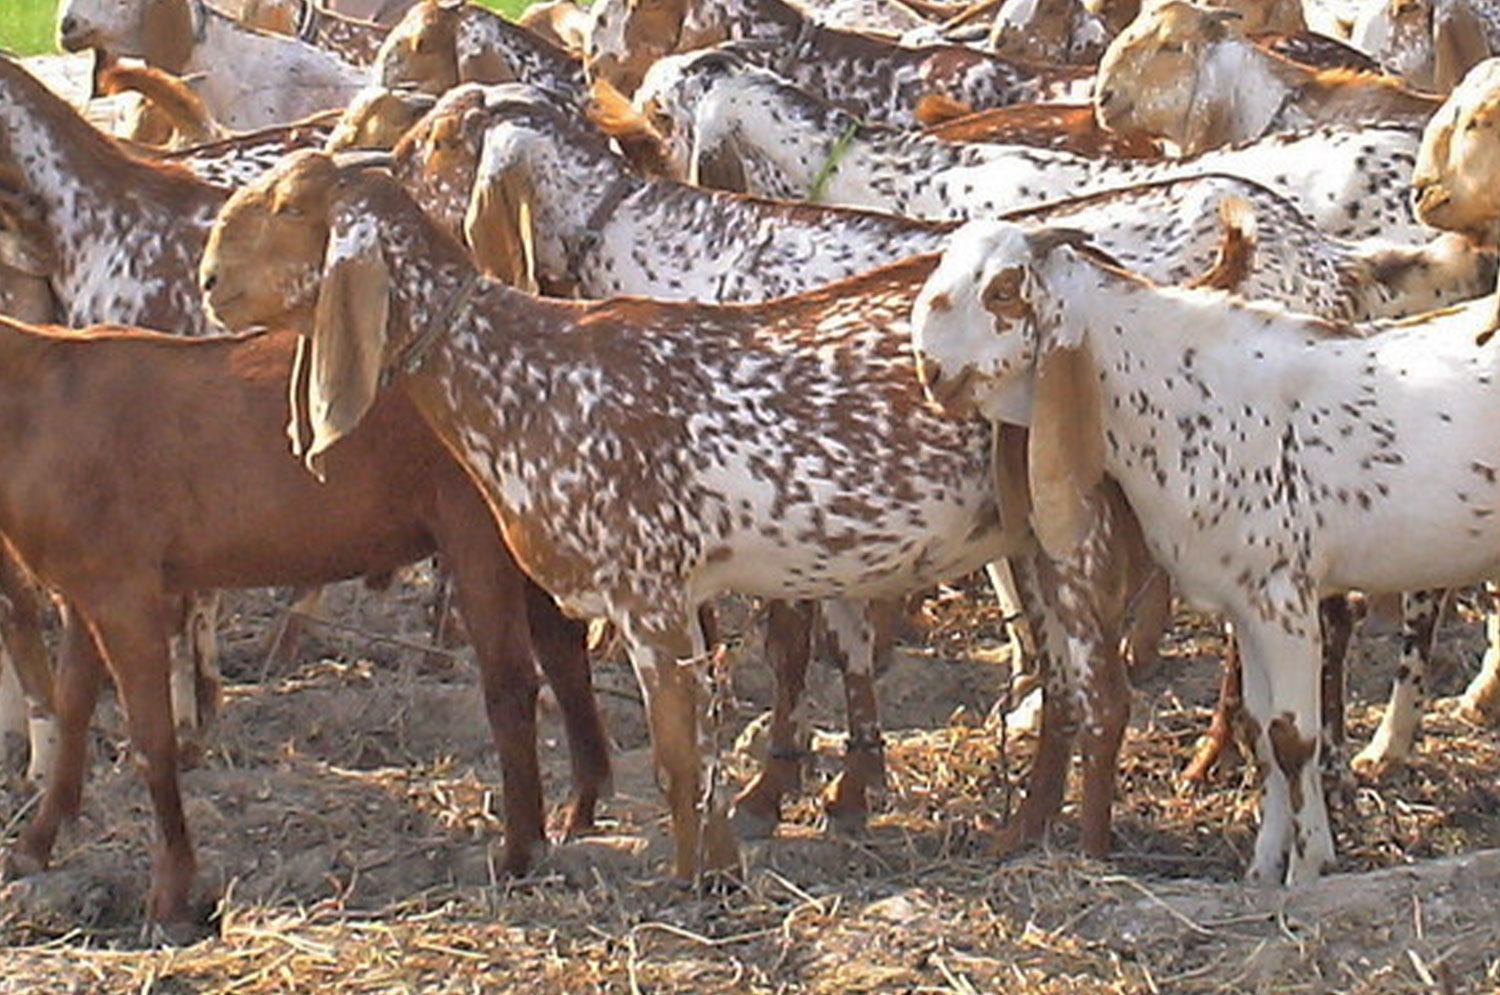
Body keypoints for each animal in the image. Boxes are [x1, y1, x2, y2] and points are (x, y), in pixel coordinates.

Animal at [0, 319, 610, 931]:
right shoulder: (82, 592)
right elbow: (72, 711)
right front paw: (34, 846)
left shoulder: (127, 591)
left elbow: (151, 741)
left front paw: (170, 896)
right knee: (564, 653)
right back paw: (578, 809)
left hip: (476, 527)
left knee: (512, 681)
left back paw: (518, 852)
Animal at [911, 219, 1500, 884]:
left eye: (1005, 291)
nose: (931, 370)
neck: (1194, 397)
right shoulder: (1244, 604)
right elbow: (1261, 731)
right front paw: (1263, 870)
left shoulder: (1283, 598)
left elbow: (1293, 739)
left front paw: (1307, 870)